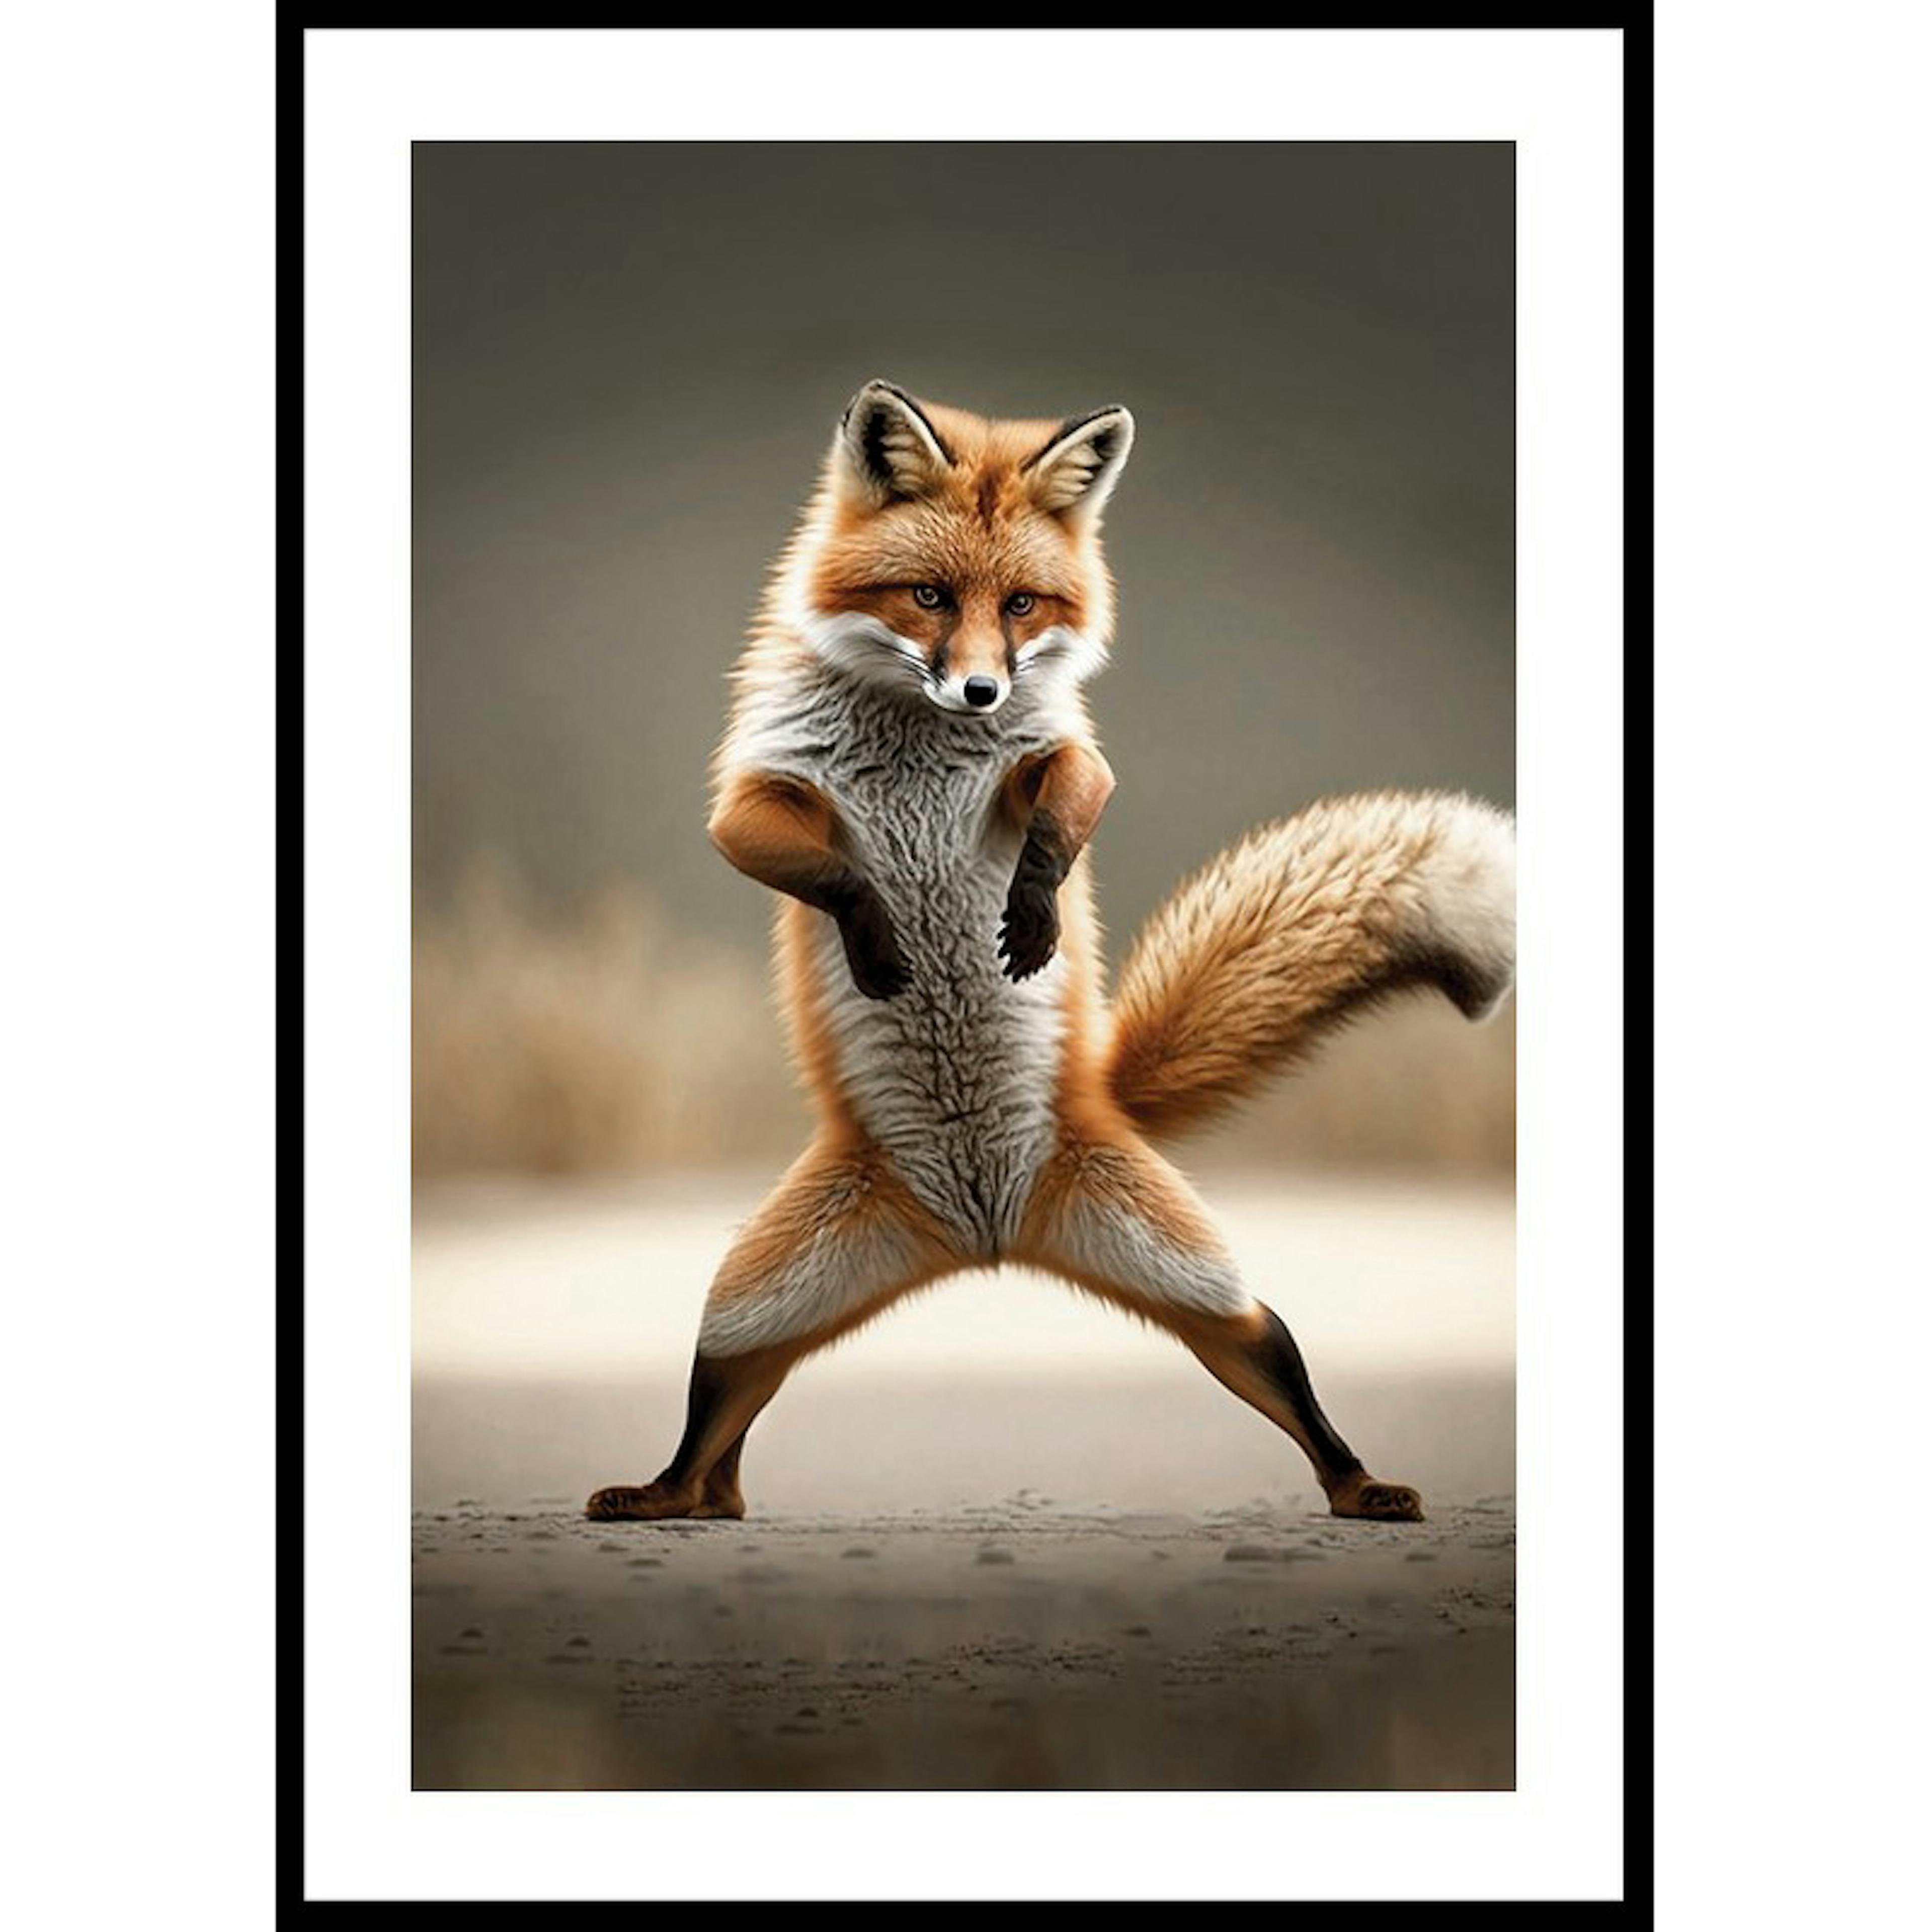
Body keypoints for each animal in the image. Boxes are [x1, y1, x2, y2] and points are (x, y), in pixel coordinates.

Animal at [585, 379, 1515, 1527]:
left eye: (1022, 606)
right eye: (930, 597)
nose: (981, 693)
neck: (918, 745)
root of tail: (984, 1239)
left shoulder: (1058, 757)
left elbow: (1070, 804)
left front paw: (1031, 914)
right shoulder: (759, 794)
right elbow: (833, 873)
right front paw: (882, 936)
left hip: (1195, 1286)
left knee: (1276, 1354)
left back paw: (1361, 1487)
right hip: (750, 1309)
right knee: (721, 1423)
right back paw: (675, 1497)